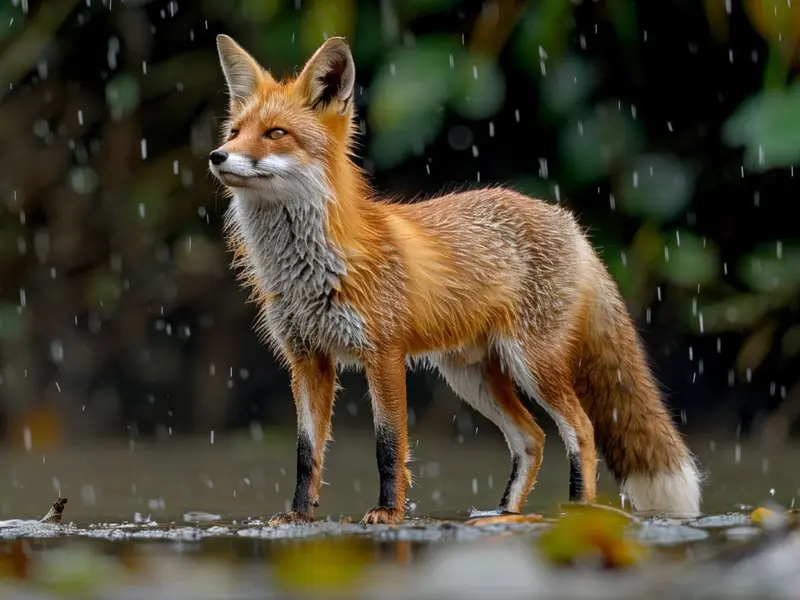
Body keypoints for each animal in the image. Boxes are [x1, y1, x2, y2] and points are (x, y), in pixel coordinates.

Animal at [207, 34, 702, 526]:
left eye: (275, 133)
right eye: (234, 133)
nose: (217, 156)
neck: (311, 271)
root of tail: (569, 222)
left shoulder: (384, 353)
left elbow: (389, 446)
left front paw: (388, 512)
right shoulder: (307, 359)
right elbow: (306, 453)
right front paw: (297, 517)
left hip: (531, 363)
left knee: (580, 429)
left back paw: (578, 514)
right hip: (470, 376)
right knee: (532, 438)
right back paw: (502, 514)